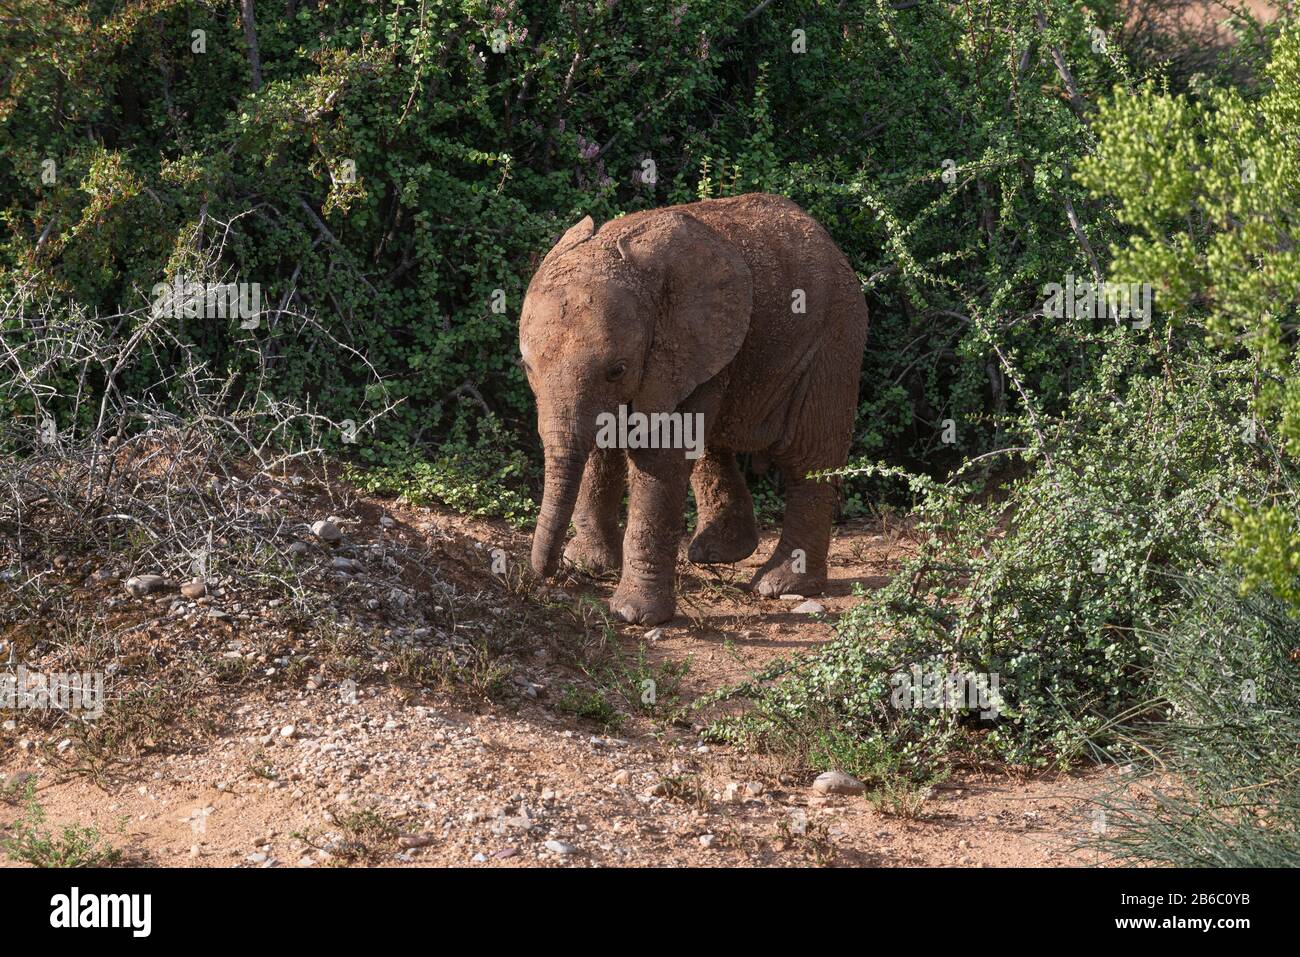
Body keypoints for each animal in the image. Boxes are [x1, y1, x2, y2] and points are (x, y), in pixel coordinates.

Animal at [514, 195, 863, 629]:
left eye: (618, 370)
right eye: (527, 366)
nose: (546, 574)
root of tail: (828, 240)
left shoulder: (684, 343)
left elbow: (658, 458)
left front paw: (635, 615)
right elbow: (603, 440)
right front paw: (589, 565)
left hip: (835, 337)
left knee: (808, 460)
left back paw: (778, 585)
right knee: (713, 445)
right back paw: (718, 553)